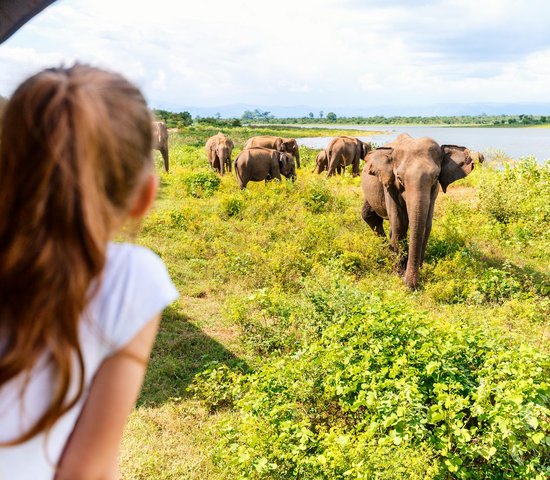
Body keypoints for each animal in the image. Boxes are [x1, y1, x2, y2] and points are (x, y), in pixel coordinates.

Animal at [362, 133, 488, 286]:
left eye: (435, 177)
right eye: (399, 178)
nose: (410, 286)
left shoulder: (434, 191)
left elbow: (426, 226)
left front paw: (418, 270)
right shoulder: (389, 186)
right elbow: (399, 224)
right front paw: (399, 273)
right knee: (370, 216)